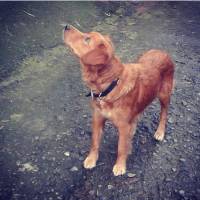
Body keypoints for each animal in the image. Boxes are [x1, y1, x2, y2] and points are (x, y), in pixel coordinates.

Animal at [63, 25, 174, 177]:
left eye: (87, 39)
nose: (66, 26)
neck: (110, 85)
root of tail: (162, 51)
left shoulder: (122, 126)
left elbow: (121, 148)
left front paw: (120, 166)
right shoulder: (97, 118)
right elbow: (94, 142)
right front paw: (91, 159)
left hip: (164, 94)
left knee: (164, 113)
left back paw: (160, 132)